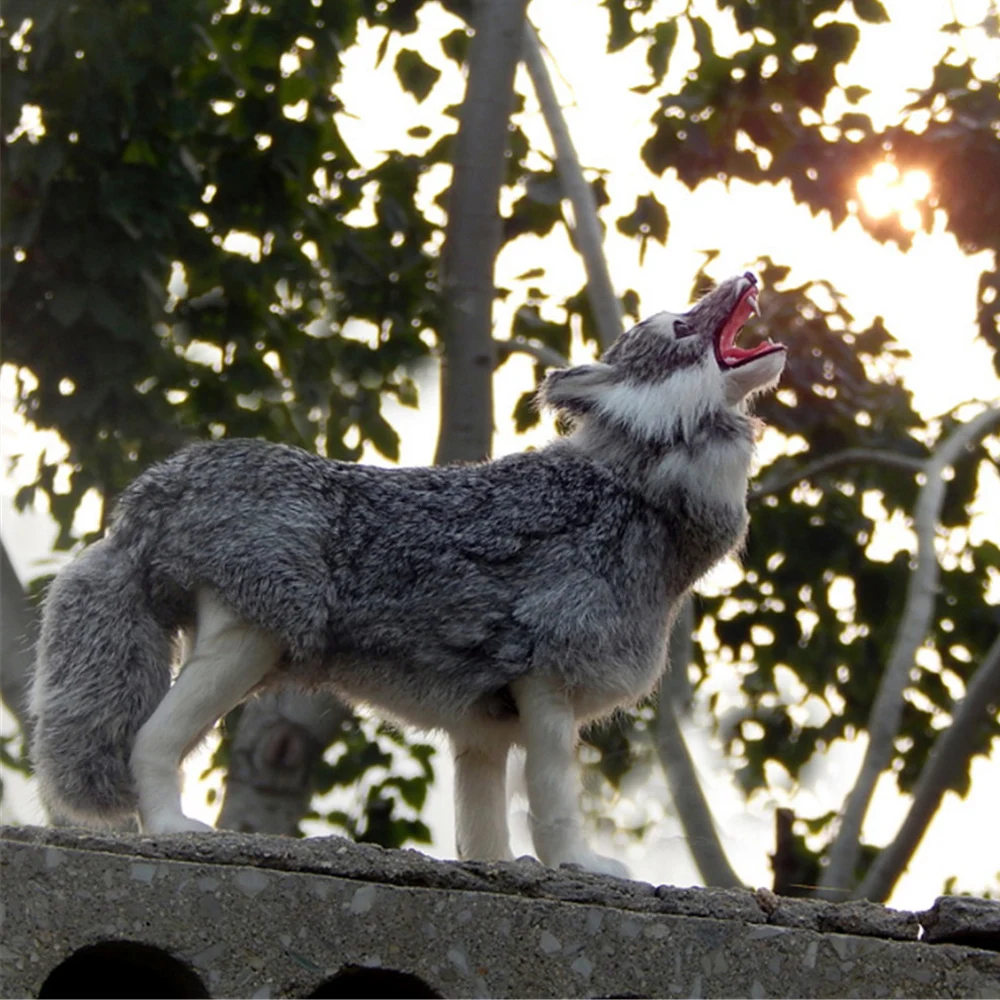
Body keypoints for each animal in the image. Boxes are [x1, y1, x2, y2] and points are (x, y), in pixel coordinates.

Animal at [29, 272, 785, 877]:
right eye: (681, 325)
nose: (750, 273)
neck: (634, 486)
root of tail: (152, 493)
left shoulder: (485, 728)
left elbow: (484, 834)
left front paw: (501, 873)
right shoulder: (547, 690)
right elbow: (554, 804)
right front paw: (579, 866)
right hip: (244, 648)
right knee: (149, 743)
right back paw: (173, 832)